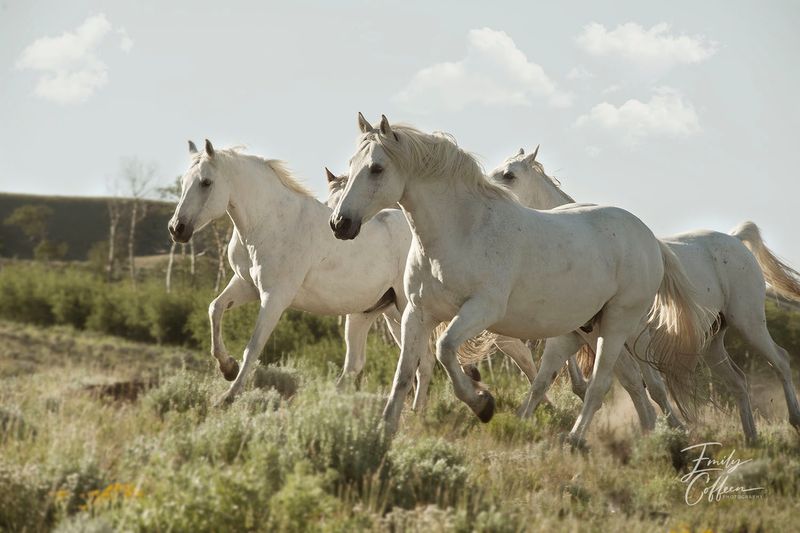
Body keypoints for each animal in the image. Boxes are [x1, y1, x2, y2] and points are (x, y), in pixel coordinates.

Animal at [330, 114, 715, 444]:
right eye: (349, 166)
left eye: (376, 168)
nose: (340, 224)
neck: (462, 229)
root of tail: (649, 237)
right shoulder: (416, 313)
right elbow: (404, 373)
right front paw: (385, 430)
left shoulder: (481, 310)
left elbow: (445, 349)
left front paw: (483, 404)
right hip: (596, 326)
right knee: (633, 383)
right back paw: (654, 436)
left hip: (620, 324)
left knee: (606, 382)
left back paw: (577, 439)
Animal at [487, 146, 800, 442]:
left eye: (509, 175)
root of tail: (735, 240)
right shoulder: (586, 336)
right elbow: (563, 380)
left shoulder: (634, 337)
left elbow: (650, 386)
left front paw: (670, 429)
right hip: (713, 342)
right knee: (738, 381)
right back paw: (751, 437)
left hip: (749, 323)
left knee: (781, 361)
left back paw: (793, 420)